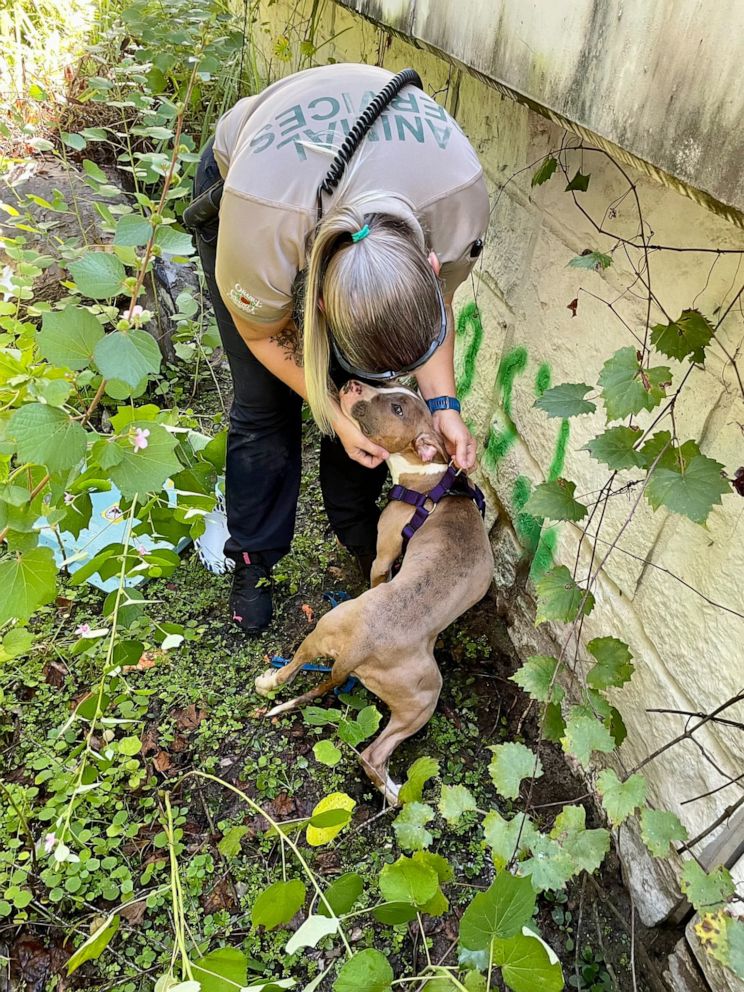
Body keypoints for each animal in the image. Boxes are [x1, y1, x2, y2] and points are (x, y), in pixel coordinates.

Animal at [256, 380, 494, 808]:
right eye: (394, 386)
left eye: (398, 407)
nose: (352, 384)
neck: (431, 477)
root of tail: (358, 649)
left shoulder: (384, 555)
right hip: (397, 682)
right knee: (364, 747)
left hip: (380, 670)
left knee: (359, 743)